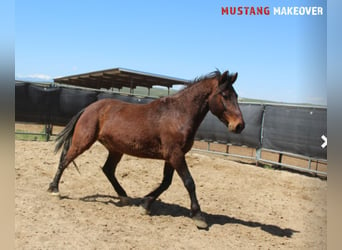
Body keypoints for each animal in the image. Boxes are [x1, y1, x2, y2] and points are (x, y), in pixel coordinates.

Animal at [48, 70, 246, 229]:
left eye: (236, 95)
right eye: (225, 95)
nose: (239, 126)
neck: (178, 115)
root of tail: (88, 108)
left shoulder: (172, 157)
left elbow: (166, 183)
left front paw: (145, 203)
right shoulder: (175, 155)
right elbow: (189, 182)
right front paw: (199, 217)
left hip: (116, 149)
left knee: (108, 170)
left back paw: (124, 196)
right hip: (84, 142)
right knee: (65, 160)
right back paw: (54, 189)